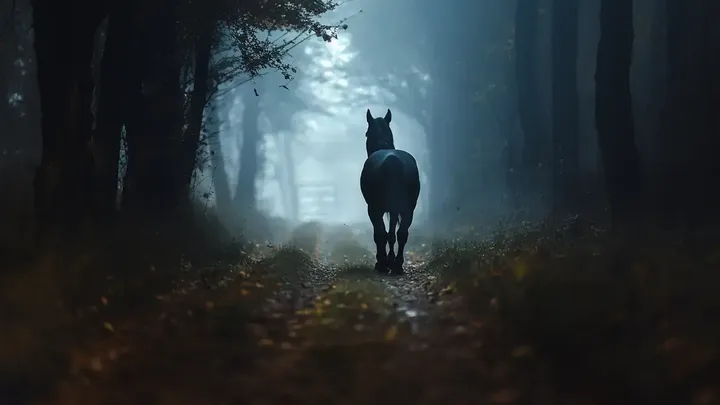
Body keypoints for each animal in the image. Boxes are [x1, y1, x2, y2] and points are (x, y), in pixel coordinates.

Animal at [360, 109, 421, 275]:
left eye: (366, 133)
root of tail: (393, 161)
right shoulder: (394, 209)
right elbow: (392, 233)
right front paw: (390, 260)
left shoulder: (374, 209)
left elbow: (380, 233)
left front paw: (383, 261)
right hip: (408, 208)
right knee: (402, 233)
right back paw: (397, 265)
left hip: (376, 207)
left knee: (381, 234)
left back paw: (383, 264)